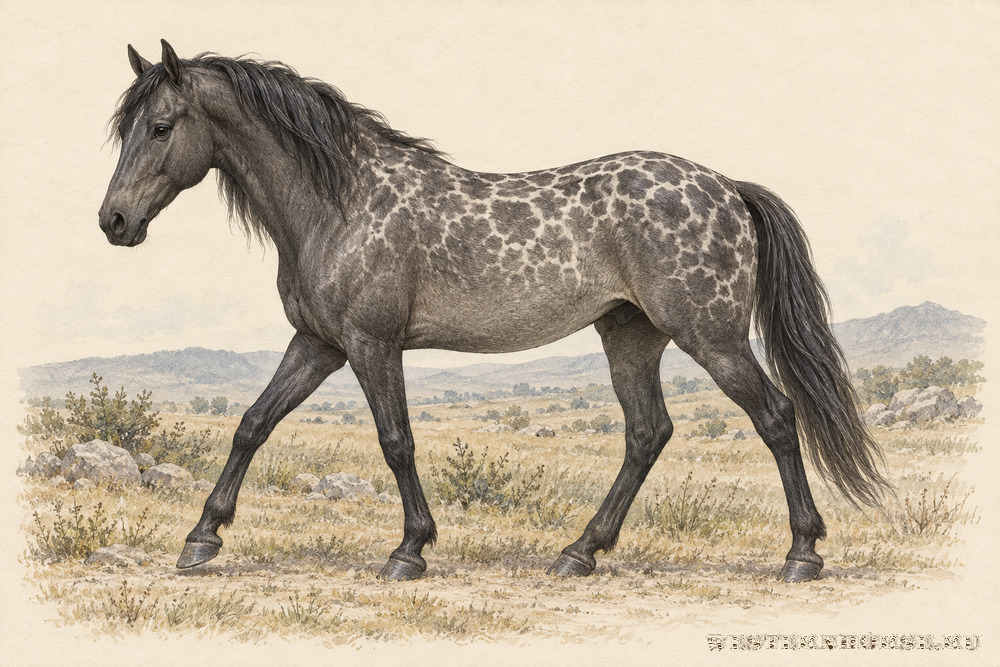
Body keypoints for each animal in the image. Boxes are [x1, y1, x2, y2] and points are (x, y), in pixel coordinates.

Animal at [99, 40, 889, 583]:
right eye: (125, 128)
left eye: (163, 125)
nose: (114, 221)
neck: (338, 203)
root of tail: (727, 186)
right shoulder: (316, 342)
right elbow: (252, 424)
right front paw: (201, 538)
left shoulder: (370, 343)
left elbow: (395, 441)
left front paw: (410, 550)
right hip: (630, 336)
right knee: (647, 433)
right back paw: (579, 551)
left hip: (711, 335)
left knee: (776, 417)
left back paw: (801, 553)